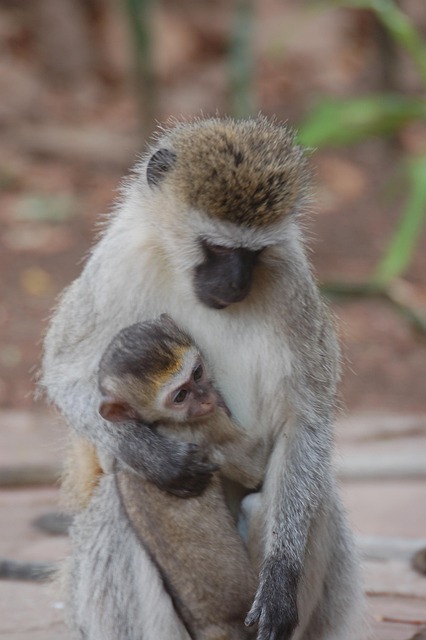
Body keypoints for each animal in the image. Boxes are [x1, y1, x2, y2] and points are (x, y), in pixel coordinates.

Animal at [40, 116, 364, 640]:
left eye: (252, 254)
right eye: (215, 247)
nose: (234, 284)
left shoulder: (291, 279)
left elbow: (305, 420)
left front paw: (281, 576)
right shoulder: (117, 263)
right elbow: (65, 374)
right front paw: (156, 456)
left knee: (314, 496)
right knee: (117, 506)